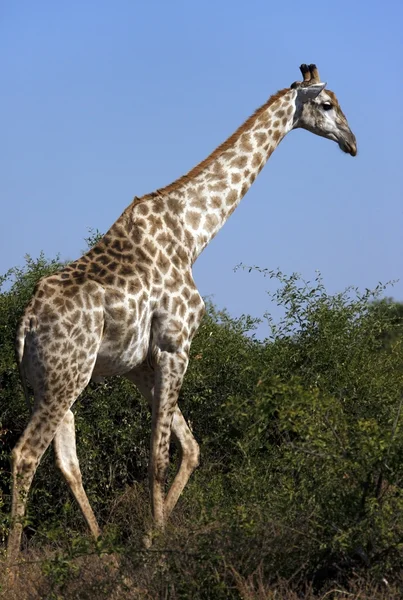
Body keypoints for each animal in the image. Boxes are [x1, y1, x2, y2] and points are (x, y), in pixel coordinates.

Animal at [7, 63, 356, 560]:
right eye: (327, 105)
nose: (352, 142)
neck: (193, 234)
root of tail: (26, 325)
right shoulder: (176, 345)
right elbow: (159, 454)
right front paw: (156, 542)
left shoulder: (142, 363)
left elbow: (188, 447)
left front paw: (155, 533)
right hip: (65, 377)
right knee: (26, 455)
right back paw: (14, 563)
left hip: (49, 384)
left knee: (66, 460)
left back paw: (100, 545)